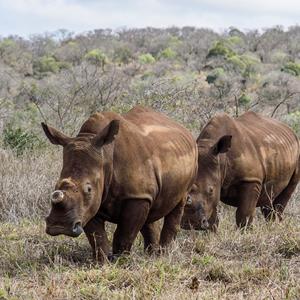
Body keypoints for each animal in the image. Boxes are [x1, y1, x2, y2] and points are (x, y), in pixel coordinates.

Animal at [41, 106, 197, 262]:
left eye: (89, 189)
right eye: (56, 186)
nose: (59, 226)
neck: (105, 155)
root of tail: (185, 130)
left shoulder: (135, 196)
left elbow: (124, 235)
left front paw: (120, 261)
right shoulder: (89, 205)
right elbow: (96, 237)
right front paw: (102, 262)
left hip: (191, 163)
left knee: (178, 205)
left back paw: (163, 256)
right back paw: (151, 256)